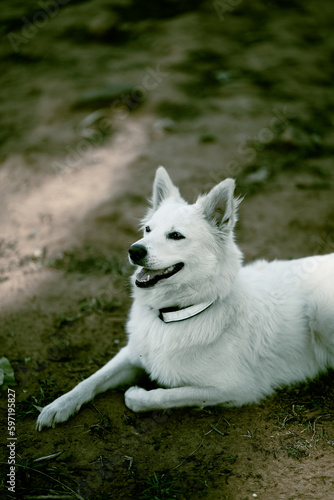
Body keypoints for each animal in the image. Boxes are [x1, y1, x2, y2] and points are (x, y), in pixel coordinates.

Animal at [36, 168, 334, 430]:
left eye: (176, 235)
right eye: (147, 229)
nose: (134, 250)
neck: (176, 313)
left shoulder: (235, 388)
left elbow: (167, 395)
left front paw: (137, 396)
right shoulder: (131, 353)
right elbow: (92, 380)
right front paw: (57, 407)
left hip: (321, 313)